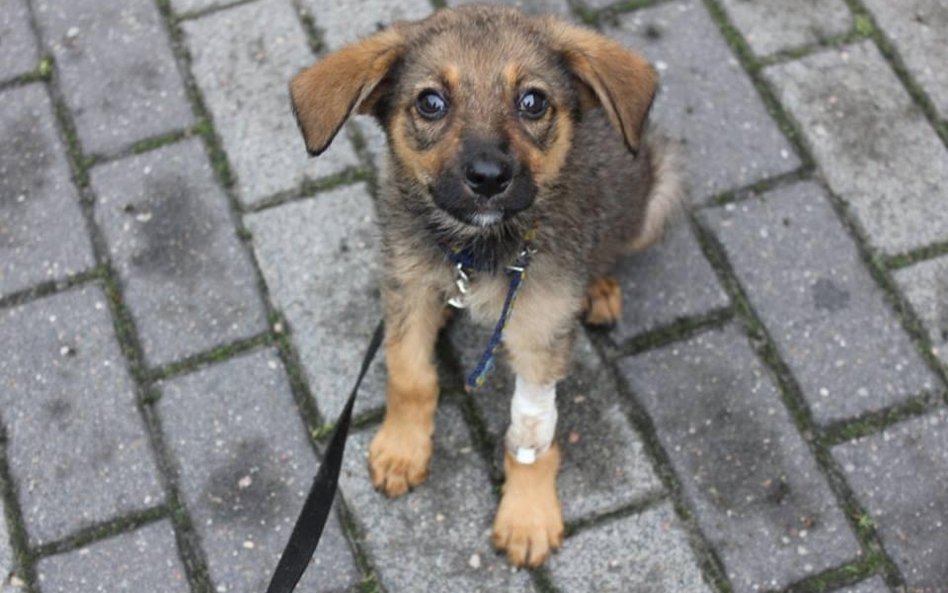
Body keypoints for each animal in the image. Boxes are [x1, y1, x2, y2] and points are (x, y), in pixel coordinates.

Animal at [288, 5, 680, 568]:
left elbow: (531, 432)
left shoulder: (539, 331)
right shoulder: (406, 284)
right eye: (431, 102)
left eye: (533, 101)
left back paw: (598, 289)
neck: (477, 249)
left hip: (657, 197)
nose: (490, 176)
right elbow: (409, 374)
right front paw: (403, 447)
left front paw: (528, 514)